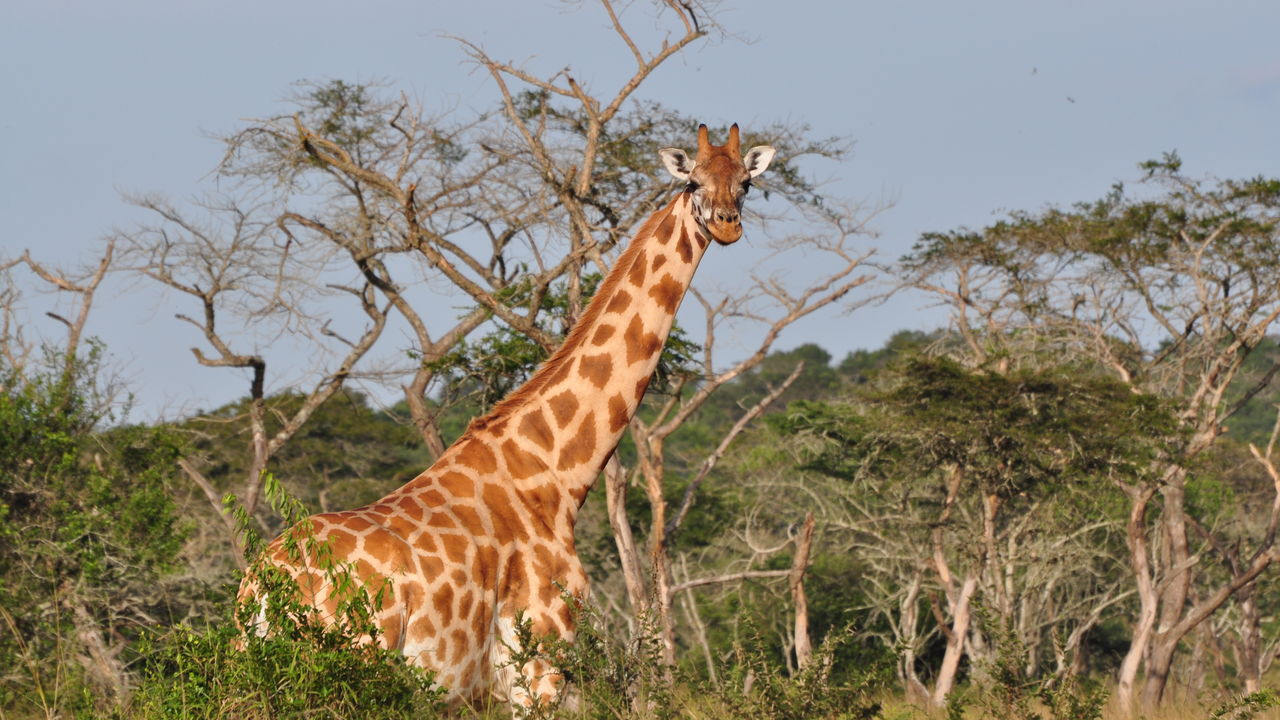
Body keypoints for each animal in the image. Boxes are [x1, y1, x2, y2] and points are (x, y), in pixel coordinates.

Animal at [240, 121, 778, 702]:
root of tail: (262, 587)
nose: (727, 226)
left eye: (746, 183)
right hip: (353, 662)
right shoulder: (541, 664)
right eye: (694, 182)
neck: (557, 474)